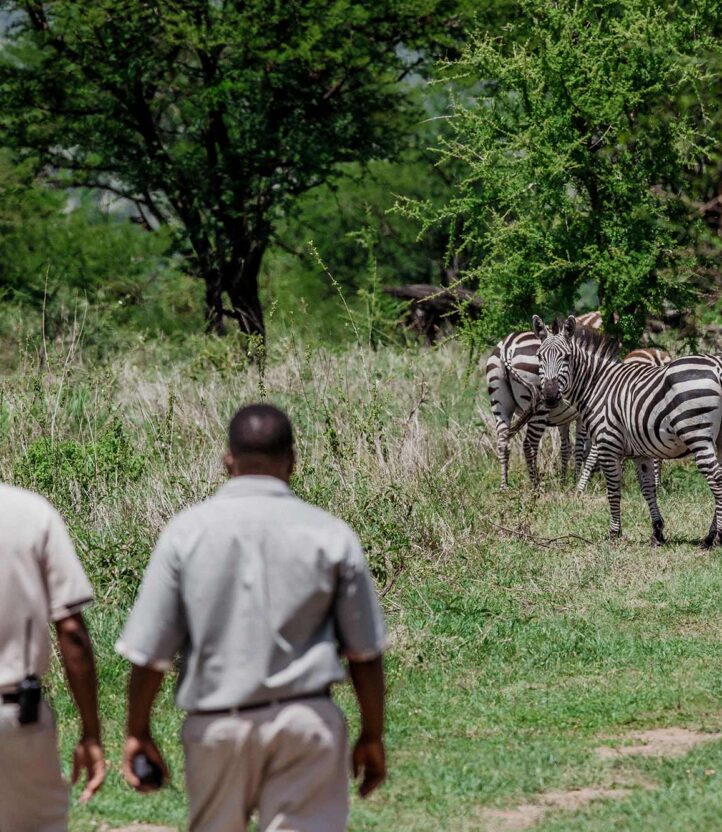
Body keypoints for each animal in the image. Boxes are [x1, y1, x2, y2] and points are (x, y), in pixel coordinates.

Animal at [484, 310, 600, 488]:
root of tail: (507, 346)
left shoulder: (564, 419)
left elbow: (566, 447)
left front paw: (564, 480)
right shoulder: (583, 415)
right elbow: (581, 447)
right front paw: (575, 480)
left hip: (500, 403)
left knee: (503, 441)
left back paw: (504, 486)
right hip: (539, 409)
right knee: (528, 444)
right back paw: (535, 486)